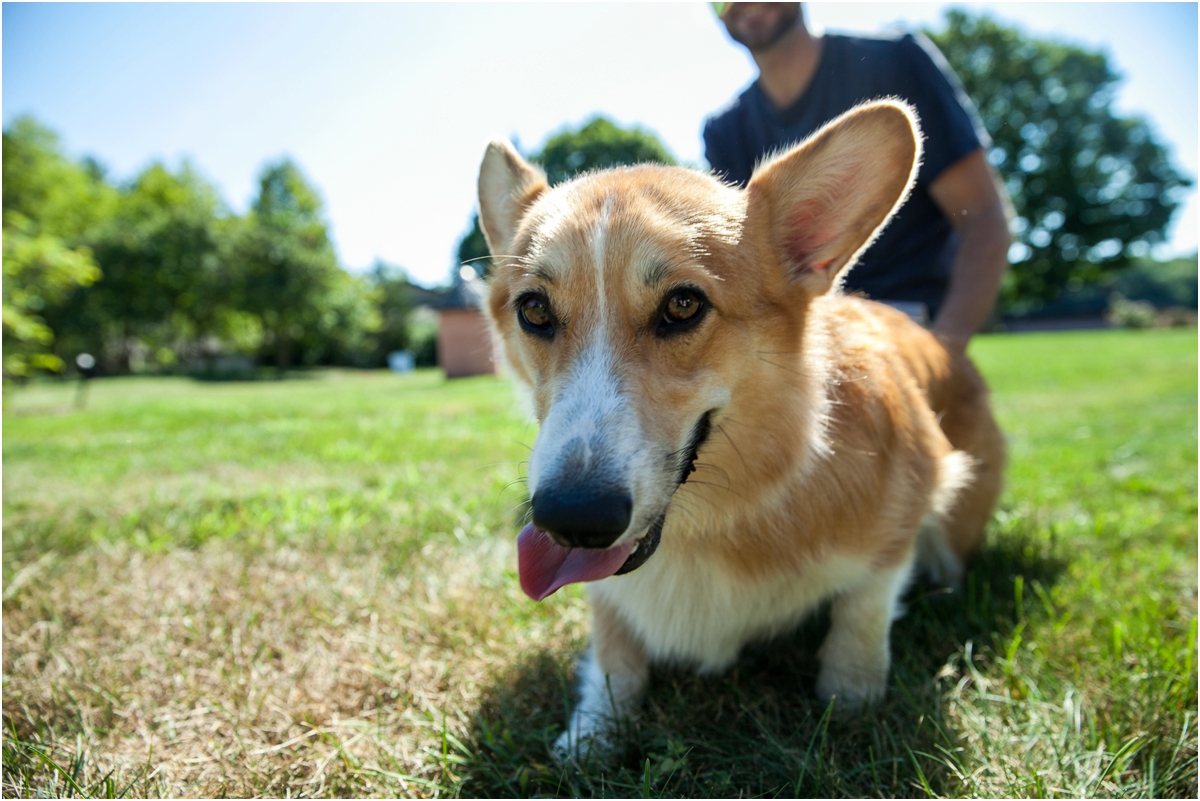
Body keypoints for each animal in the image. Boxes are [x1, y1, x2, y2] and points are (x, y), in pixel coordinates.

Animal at [472, 100, 1008, 757]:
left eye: (683, 305)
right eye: (534, 310)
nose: (572, 521)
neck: (709, 524)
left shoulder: (902, 513)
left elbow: (861, 618)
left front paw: (851, 705)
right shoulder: (609, 601)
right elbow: (614, 654)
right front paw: (592, 735)